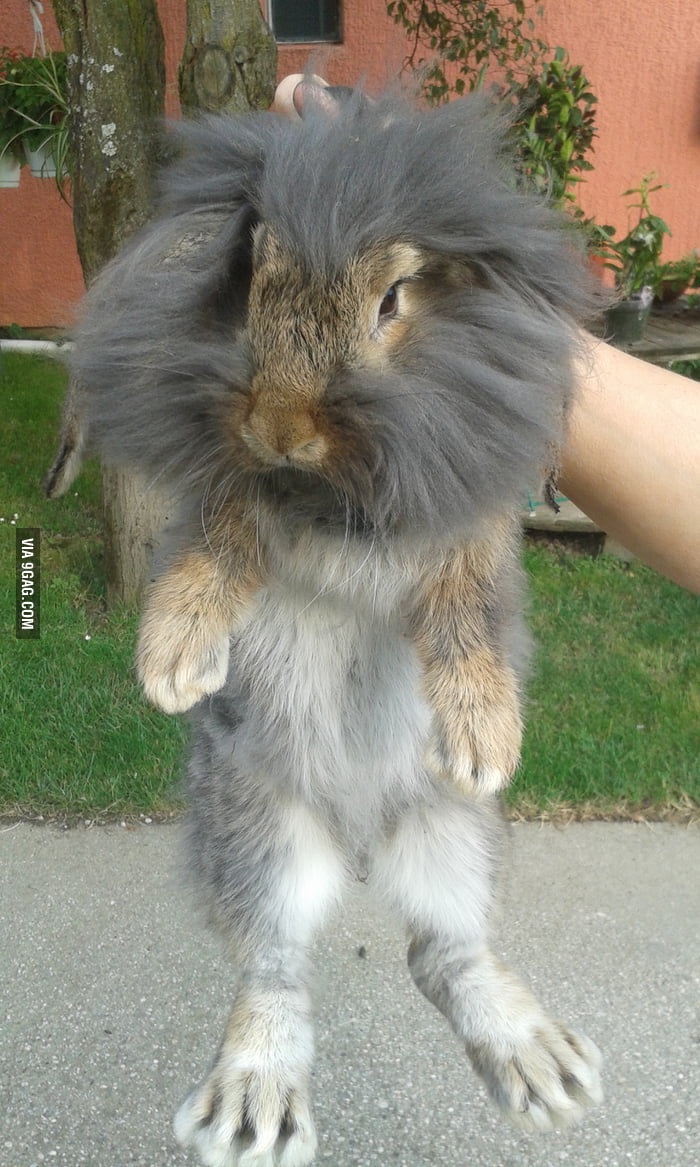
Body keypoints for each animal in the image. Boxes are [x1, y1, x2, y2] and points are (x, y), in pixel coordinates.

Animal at [66, 86, 602, 1165]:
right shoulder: (231, 495)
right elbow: (216, 543)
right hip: (254, 829)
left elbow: (468, 610)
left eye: (393, 301)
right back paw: (253, 1103)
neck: (334, 486)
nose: (279, 428)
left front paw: (485, 737)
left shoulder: (466, 527)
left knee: (443, 951)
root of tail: (358, 838)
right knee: (274, 965)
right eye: (249, 280)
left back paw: (540, 1068)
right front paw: (172, 661)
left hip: (454, 836)